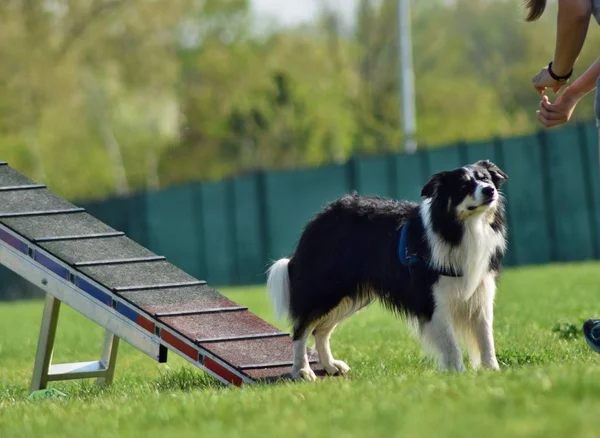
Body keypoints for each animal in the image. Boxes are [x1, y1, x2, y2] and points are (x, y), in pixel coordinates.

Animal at [268, 160, 506, 380]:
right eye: (463, 186)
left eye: (486, 178)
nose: (490, 190)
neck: (463, 229)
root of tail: (318, 219)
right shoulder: (432, 301)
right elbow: (452, 345)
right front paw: (458, 375)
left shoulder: (481, 293)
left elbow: (486, 338)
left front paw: (492, 371)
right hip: (326, 288)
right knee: (302, 328)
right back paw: (302, 370)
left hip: (348, 294)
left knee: (321, 330)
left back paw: (330, 365)